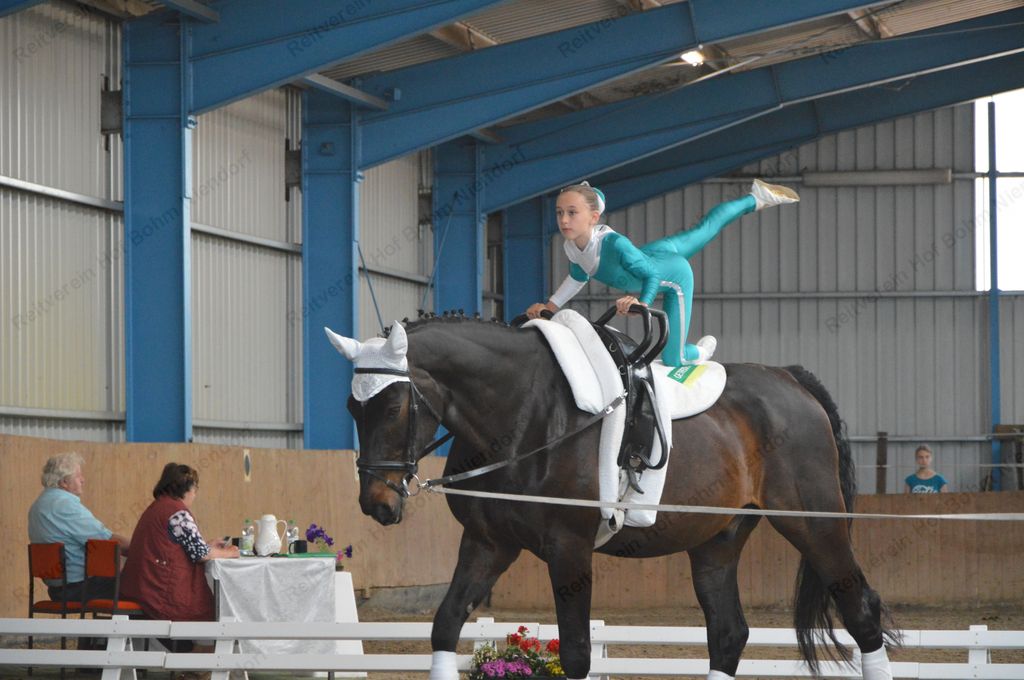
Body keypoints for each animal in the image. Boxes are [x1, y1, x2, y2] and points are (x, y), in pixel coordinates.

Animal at [326, 313, 897, 680]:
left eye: (394, 407)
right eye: (352, 410)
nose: (376, 503)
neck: (522, 415)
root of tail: (792, 381)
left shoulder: (569, 549)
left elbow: (578, 653)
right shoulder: (488, 544)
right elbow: (445, 628)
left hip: (813, 524)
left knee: (862, 613)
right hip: (717, 540)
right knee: (728, 634)